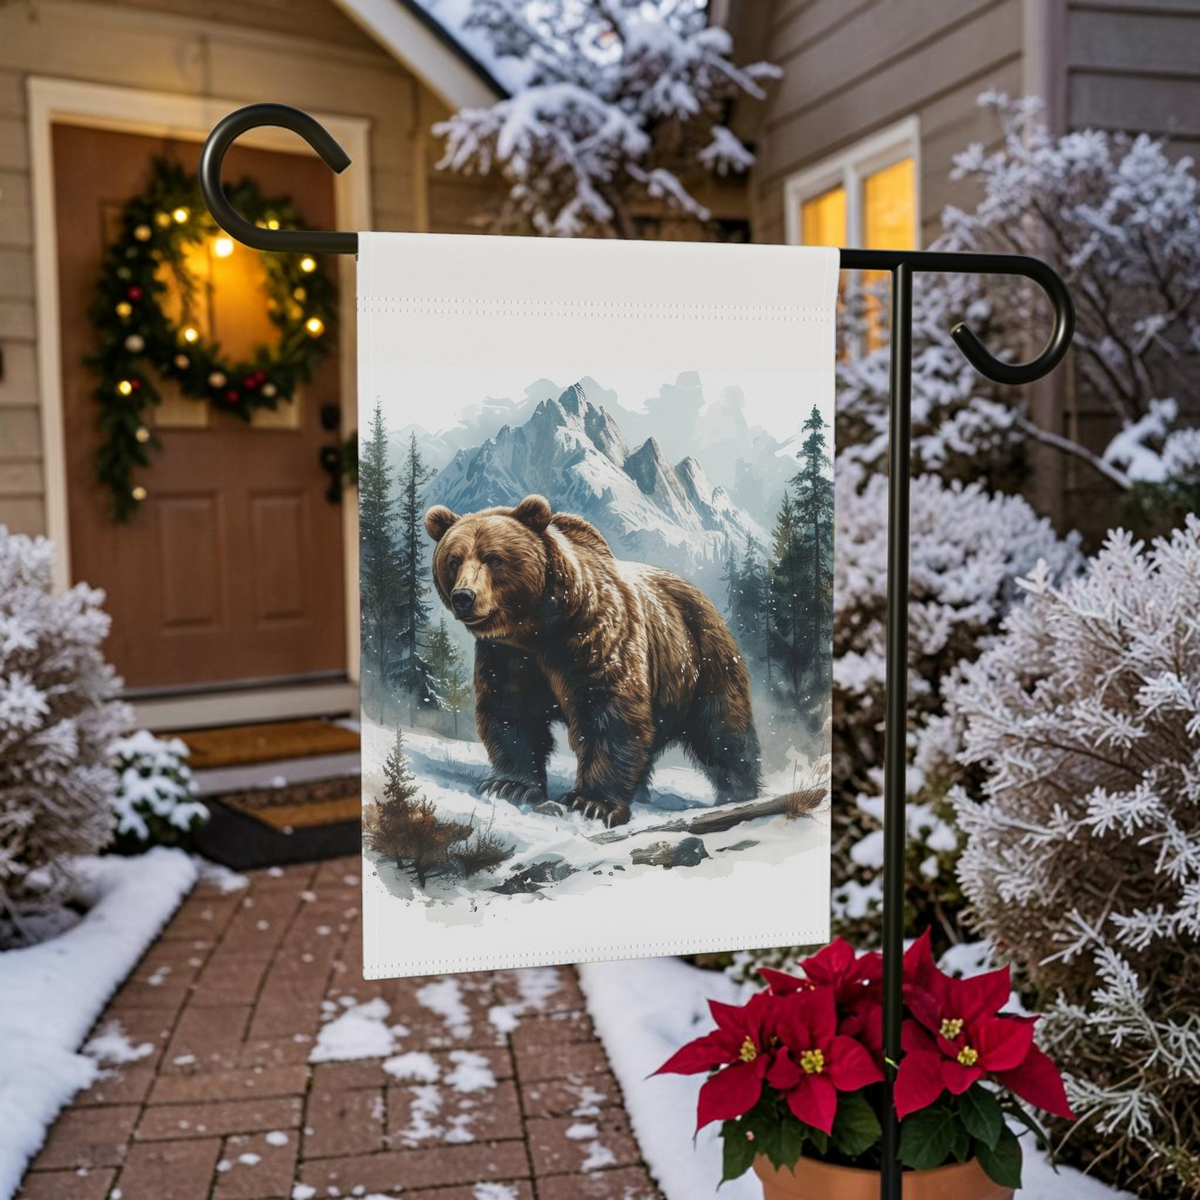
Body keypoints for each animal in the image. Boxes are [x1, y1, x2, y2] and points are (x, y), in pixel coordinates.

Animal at [424, 494, 760, 828]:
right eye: (453, 561)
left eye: (494, 558)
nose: (464, 597)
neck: (537, 628)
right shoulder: (507, 655)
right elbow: (510, 712)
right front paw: (509, 785)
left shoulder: (593, 639)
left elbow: (608, 714)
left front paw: (592, 802)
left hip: (702, 659)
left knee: (722, 730)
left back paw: (739, 793)